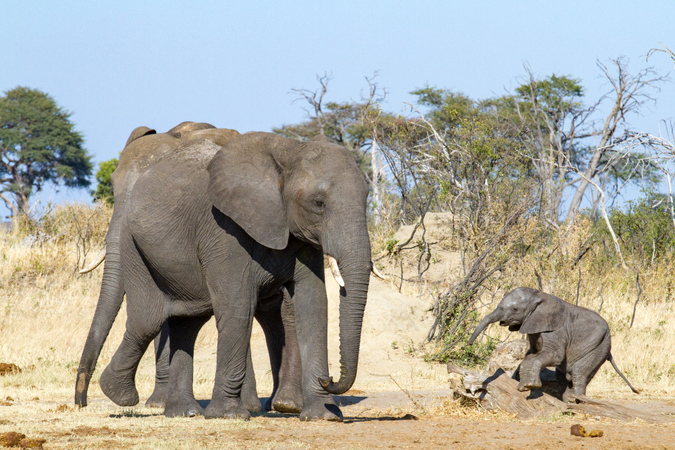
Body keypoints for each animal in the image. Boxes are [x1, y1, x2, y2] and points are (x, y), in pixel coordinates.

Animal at [100, 134, 372, 422]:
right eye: (318, 203)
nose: (327, 379)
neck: (290, 150)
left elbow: (313, 304)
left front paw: (323, 416)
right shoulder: (222, 228)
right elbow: (238, 306)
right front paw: (228, 415)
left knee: (187, 323)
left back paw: (184, 412)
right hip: (133, 245)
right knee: (148, 320)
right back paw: (119, 394)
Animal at [470, 286, 640, 402]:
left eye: (515, 308)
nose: (469, 344)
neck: (539, 296)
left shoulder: (556, 331)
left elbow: (554, 356)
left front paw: (531, 386)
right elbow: (531, 356)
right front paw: (524, 387)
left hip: (598, 347)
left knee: (579, 374)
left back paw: (577, 402)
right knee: (564, 376)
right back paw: (568, 401)